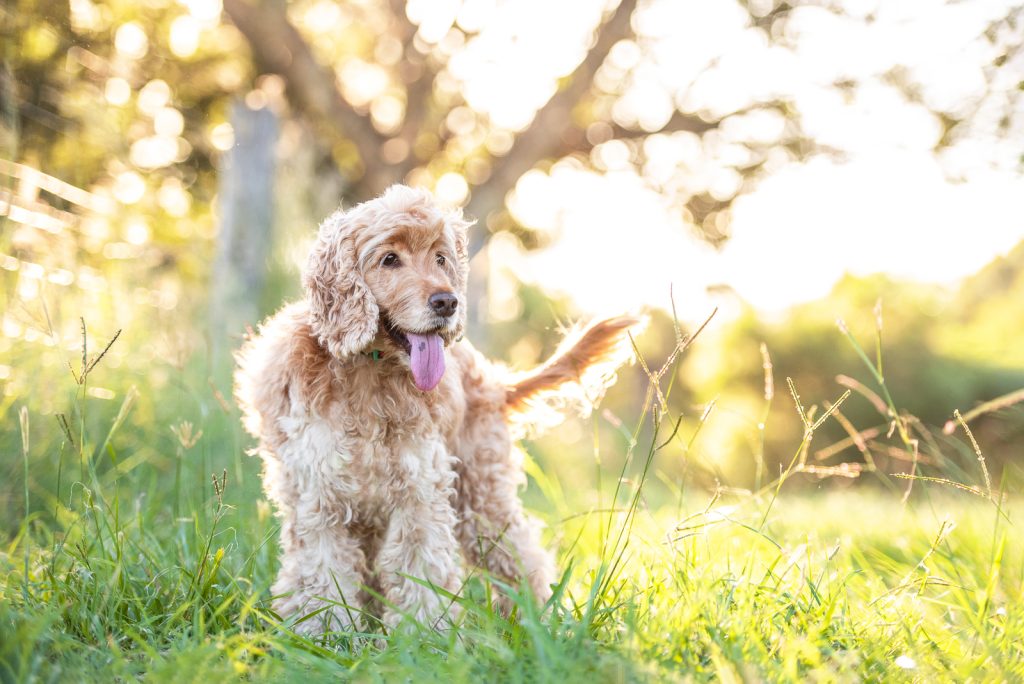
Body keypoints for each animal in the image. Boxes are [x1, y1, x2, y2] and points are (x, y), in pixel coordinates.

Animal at [236, 184, 638, 634]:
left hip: (481, 495)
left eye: (441, 258)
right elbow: (322, 574)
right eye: (390, 259)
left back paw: (538, 622)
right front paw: (323, 634)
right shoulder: (319, 496)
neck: (369, 370)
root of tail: (494, 380)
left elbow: (420, 568)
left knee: (521, 557)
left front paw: (420, 635)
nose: (448, 302)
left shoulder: (418, 489)